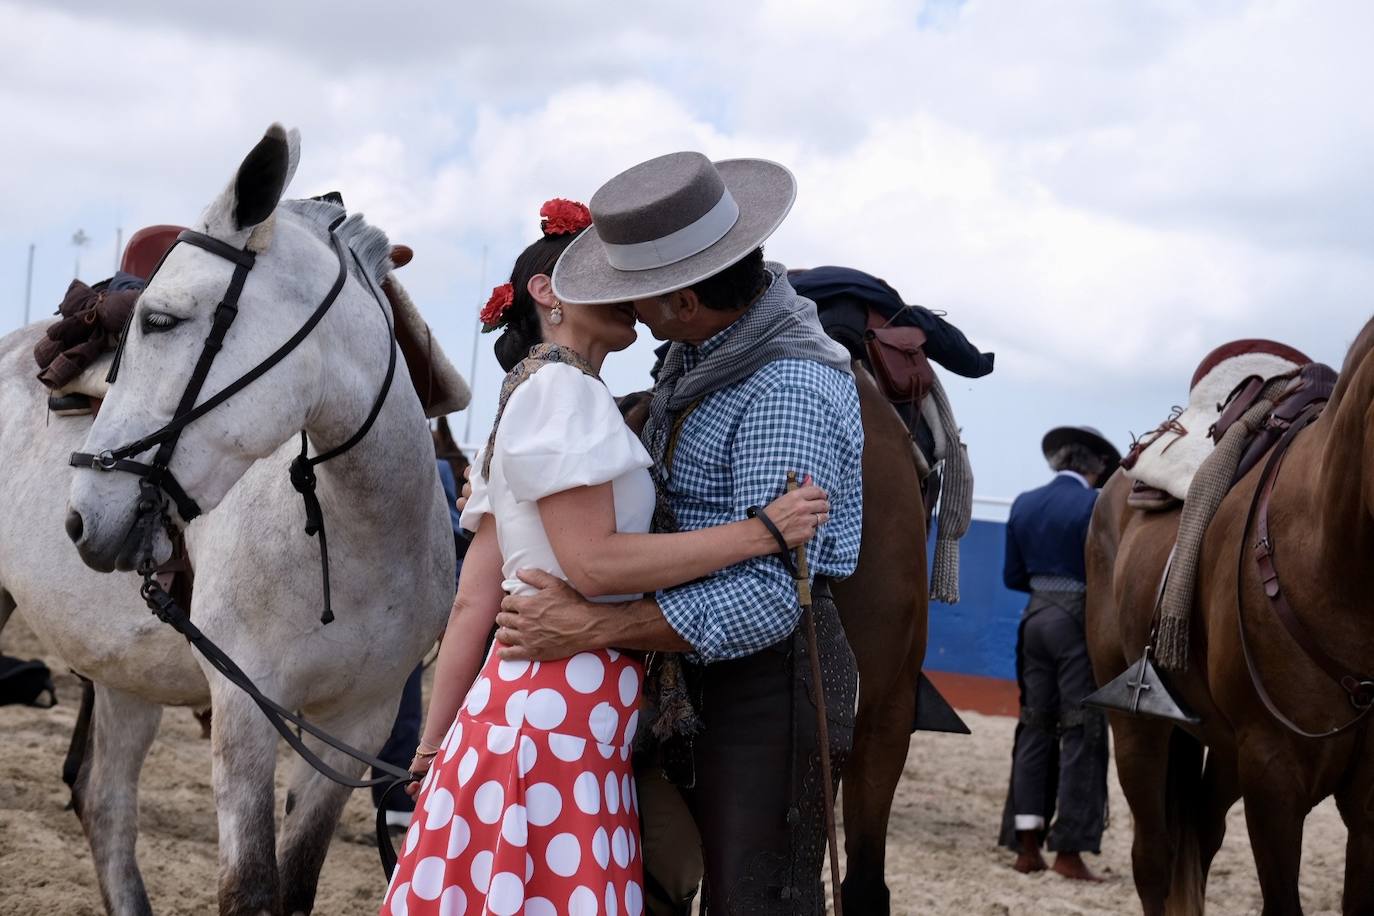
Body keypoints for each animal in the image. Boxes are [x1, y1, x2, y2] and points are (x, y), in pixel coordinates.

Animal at [4, 123, 461, 916]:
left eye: (160, 321)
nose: (83, 517)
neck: (355, 537)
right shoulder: (247, 712)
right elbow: (249, 889)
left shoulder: (356, 724)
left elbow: (296, 886)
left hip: (124, 677)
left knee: (105, 806)